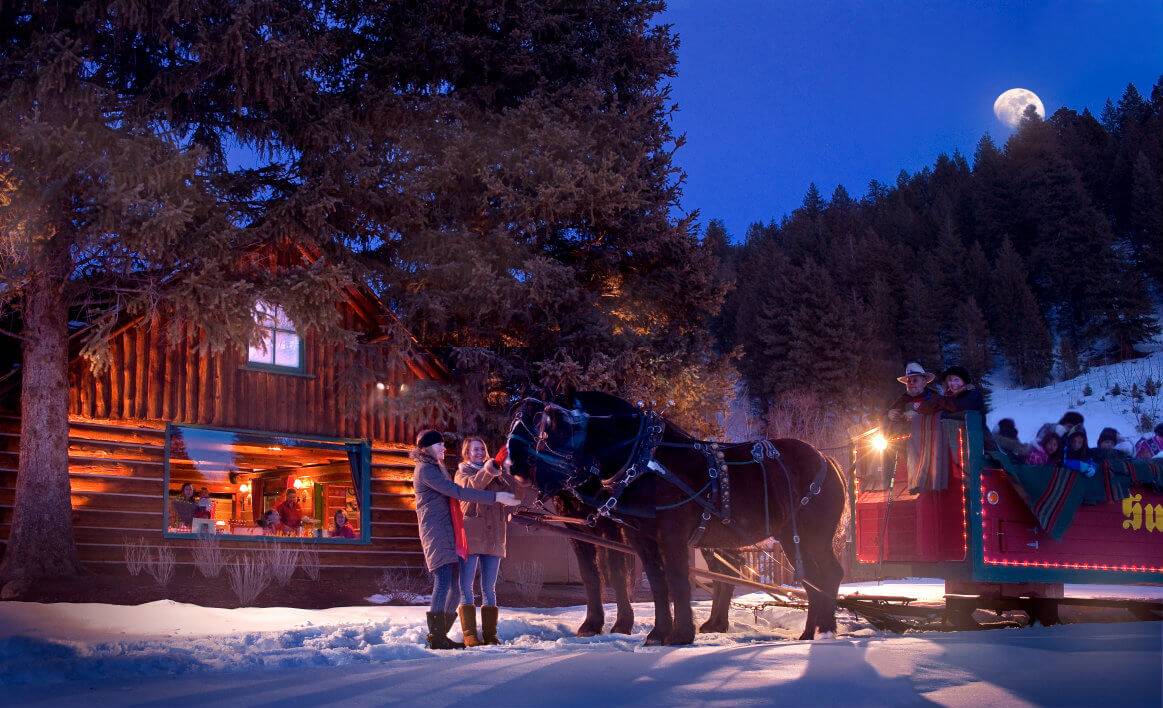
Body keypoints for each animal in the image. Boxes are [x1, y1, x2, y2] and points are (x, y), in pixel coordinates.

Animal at [507, 388, 846, 641]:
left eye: (543, 424)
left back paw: (826, 631)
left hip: (812, 536)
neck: (647, 461)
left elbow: (677, 579)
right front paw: (658, 633)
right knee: (808, 579)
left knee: (828, 575)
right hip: (789, 537)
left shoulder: (670, 535)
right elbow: (658, 583)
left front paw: (681, 634)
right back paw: (808, 632)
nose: (512, 466)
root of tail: (827, 460)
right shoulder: (640, 537)